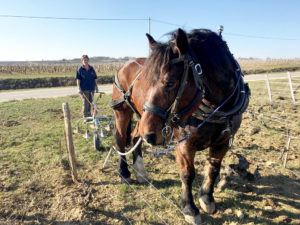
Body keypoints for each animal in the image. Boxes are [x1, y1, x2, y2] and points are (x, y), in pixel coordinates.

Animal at [111, 29, 250, 224]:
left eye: (170, 82)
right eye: (146, 82)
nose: (151, 136)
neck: (217, 108)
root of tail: (125, 65)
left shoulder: (222, 142)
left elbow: (214, 168)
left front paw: (206, 197)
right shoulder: (184, 144)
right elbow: (187, 174)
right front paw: (189, 208)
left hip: (142, 118)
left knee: (135, 135)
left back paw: (139, 169)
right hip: (124, 112)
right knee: (121, 138)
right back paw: (124, 172)